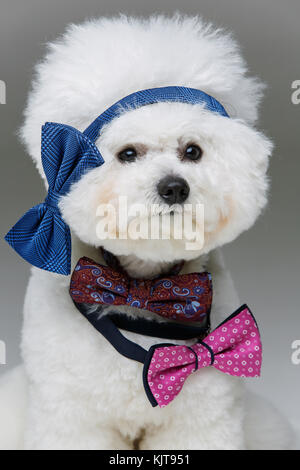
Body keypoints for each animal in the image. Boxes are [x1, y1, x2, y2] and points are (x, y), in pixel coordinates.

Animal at [0, 12, 292, 450]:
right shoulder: (72, 412)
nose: (173, 187)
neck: (143, 289)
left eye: (193, 151)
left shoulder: (200, 416)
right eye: (127, 154)